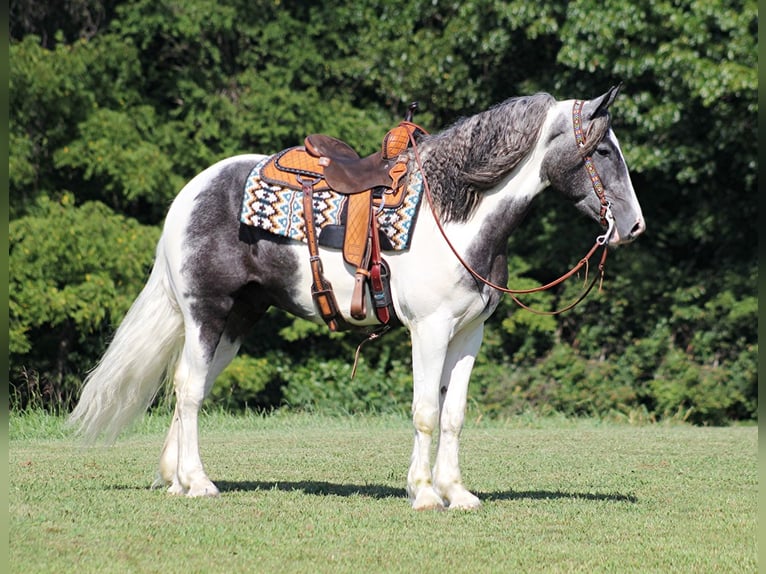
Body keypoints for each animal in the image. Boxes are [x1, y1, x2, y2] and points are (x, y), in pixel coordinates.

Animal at [70, 84, 648, 508]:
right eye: (602, 150)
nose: (635, 227)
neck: (458, 214)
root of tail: (191, 193)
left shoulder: (469, 334)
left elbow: (455, 414)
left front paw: (457, 492)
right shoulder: (429, 330)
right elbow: (425, 411)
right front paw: (423, 493)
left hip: (237, 320)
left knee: (189, 386)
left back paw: (175, 480)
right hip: (205, 312)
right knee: (189, 389)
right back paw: (198, 483)